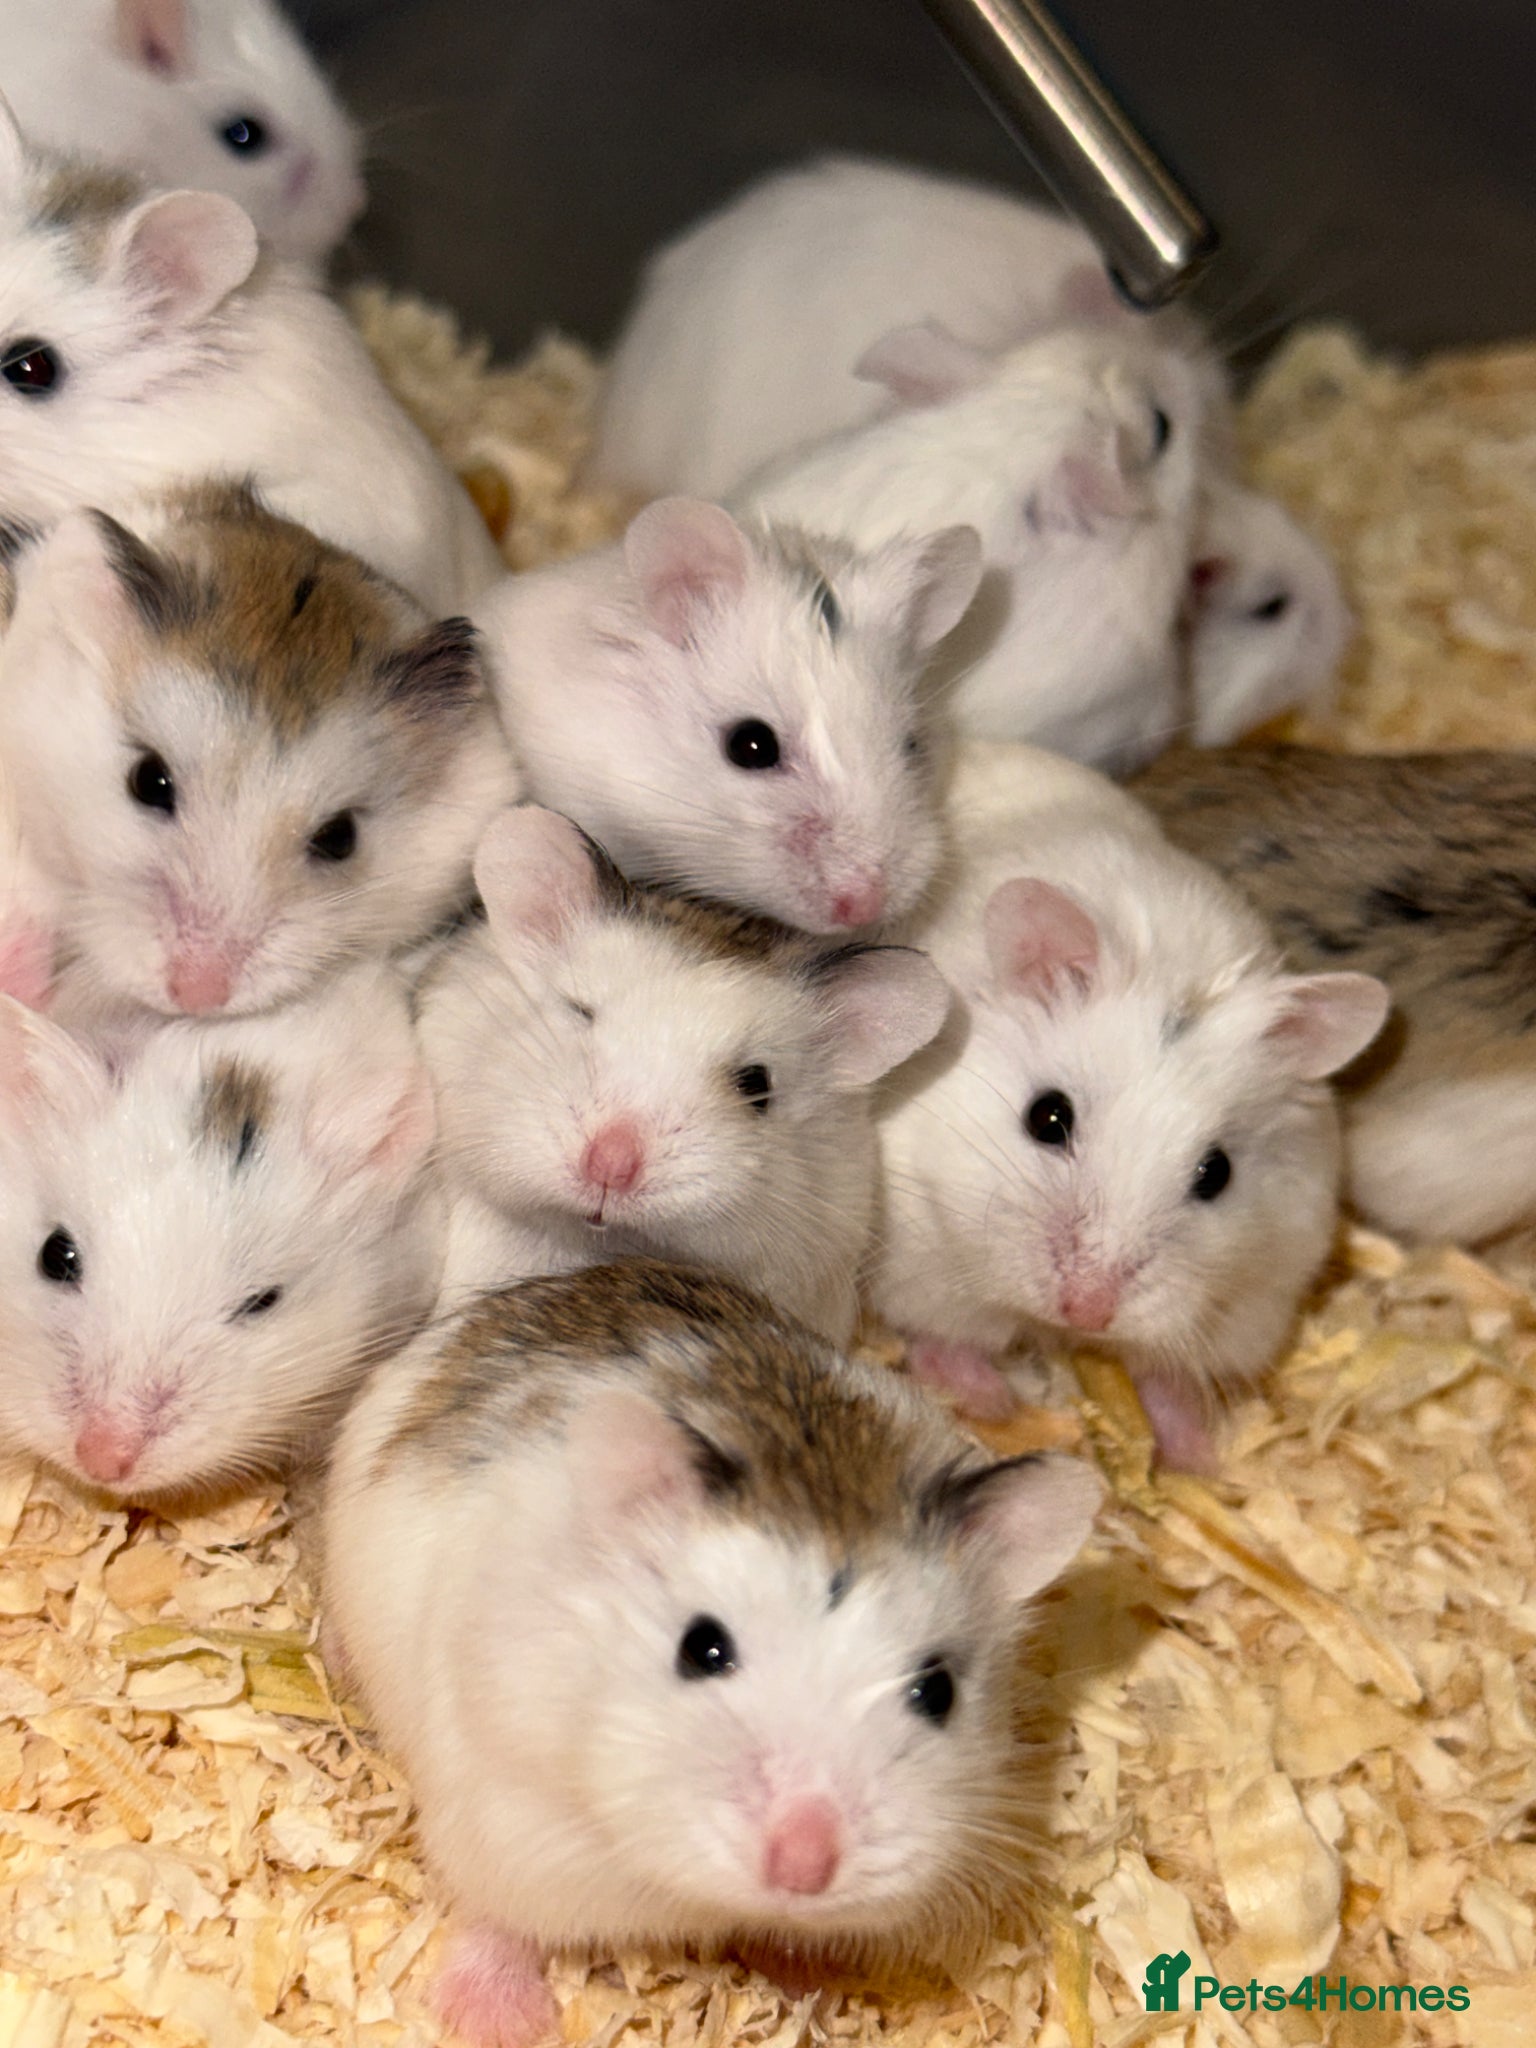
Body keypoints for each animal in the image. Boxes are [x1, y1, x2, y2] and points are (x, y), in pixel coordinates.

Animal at [322, 1258, 1103, 2044]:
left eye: (937, 1691)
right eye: (701, 1649)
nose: (803, 1868)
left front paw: (808, 1980)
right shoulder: (505, 1814)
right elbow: (498, 1918)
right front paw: (504, 2025)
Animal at [872, 742, 1389, 1465]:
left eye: (1216, 1174)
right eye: (1047, 1117)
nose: (1087, 1310)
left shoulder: (1254, 1298)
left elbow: (1167, 1377)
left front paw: (1201, 1456)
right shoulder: (913, 1239)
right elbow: (942, 1332)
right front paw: (995, 1404)